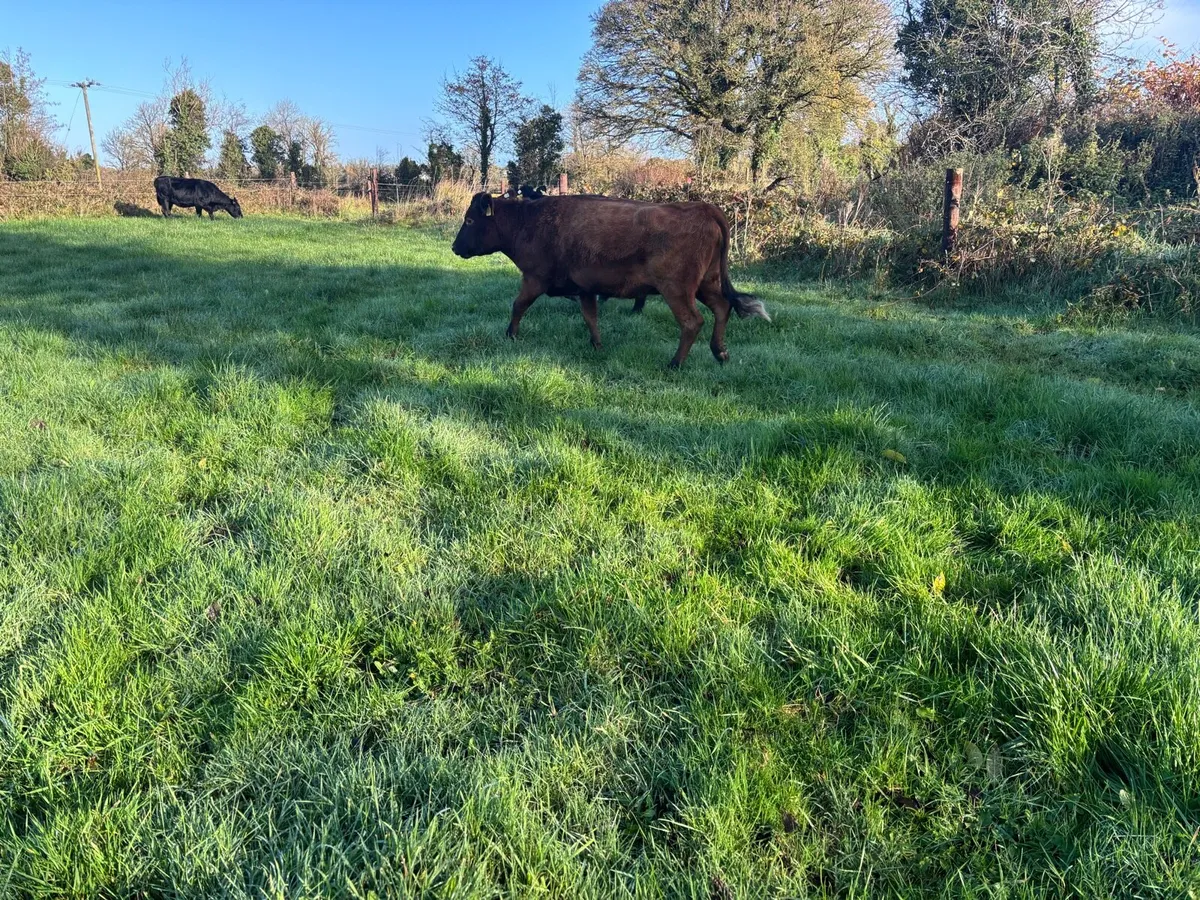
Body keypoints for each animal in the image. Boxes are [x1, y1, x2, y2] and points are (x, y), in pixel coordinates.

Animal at [450, 192, 769, 368]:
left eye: (469, 221)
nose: (454, 247)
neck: (528, 221)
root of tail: (702, 207)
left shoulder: (534, 278)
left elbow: (518, 305)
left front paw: (511, 335)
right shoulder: (585, 287)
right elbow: (590, 316)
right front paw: (597, 345)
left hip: (677, 289)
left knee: (693, 322)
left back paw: (675, 363)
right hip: (708, 282)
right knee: (722, 308)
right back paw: (720, 352)